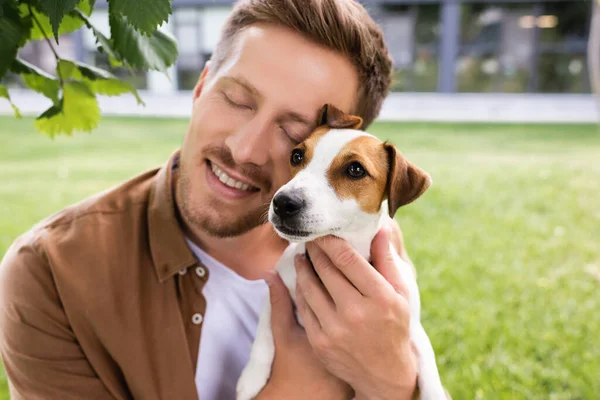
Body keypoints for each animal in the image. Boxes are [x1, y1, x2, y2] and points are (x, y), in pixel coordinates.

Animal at [234, 104, 446, 400]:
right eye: (297, 155)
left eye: (355, 170)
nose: (283, 202)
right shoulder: (277, 287)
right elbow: (264, 330)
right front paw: (251, 376)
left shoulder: (410, 325)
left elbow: (427, 359)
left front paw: (435, 391)